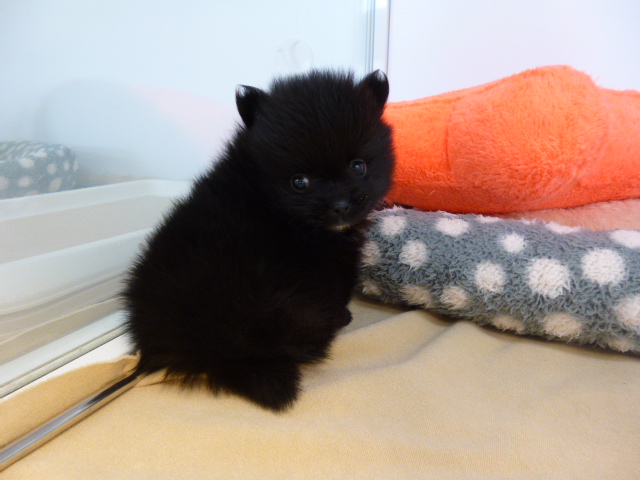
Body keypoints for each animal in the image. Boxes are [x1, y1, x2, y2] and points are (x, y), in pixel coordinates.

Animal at [123, 69, 395, 411]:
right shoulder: (327, 265)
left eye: (358, 166)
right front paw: (344, 313)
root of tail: (215, 348)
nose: (341, 205)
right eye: (299, 182)